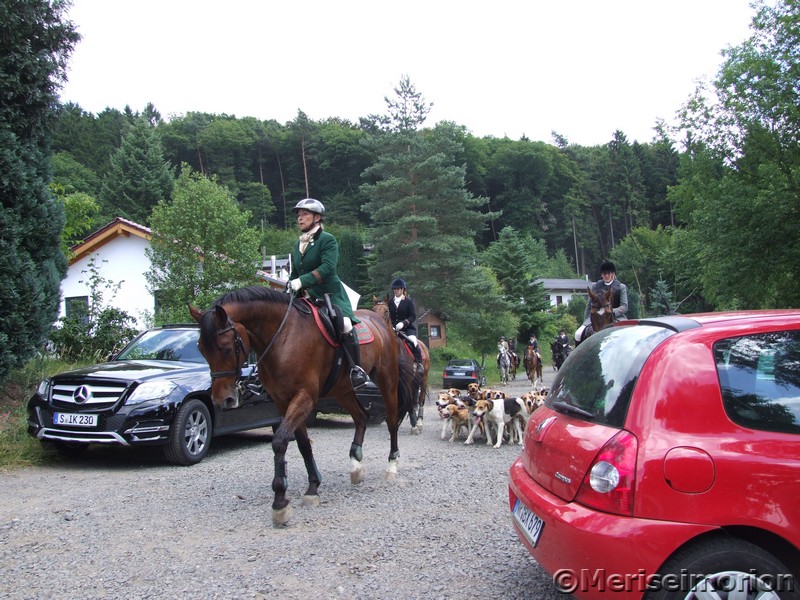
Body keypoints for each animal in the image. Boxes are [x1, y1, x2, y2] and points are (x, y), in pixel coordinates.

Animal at [189, 286, 412, 524]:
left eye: (226, 348)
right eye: (201, 350)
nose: (222, 400)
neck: (283, 337)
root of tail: (381, 322)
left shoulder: (304, 397)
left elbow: (280, 441)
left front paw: (280, 502)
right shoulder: (283, 401)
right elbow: (303, 443)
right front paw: (313, 487)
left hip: (387, 380)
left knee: (391, 421)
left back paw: (392, 467)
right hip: (342, 390)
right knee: (361, 416)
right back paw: (355, 466)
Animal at [370, 298, 428, 434]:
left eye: (386, 311)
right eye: (373, 309)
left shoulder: (406, 380)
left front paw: (414, 425)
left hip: (423, 378)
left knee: (420, 399)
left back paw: (419, 423)